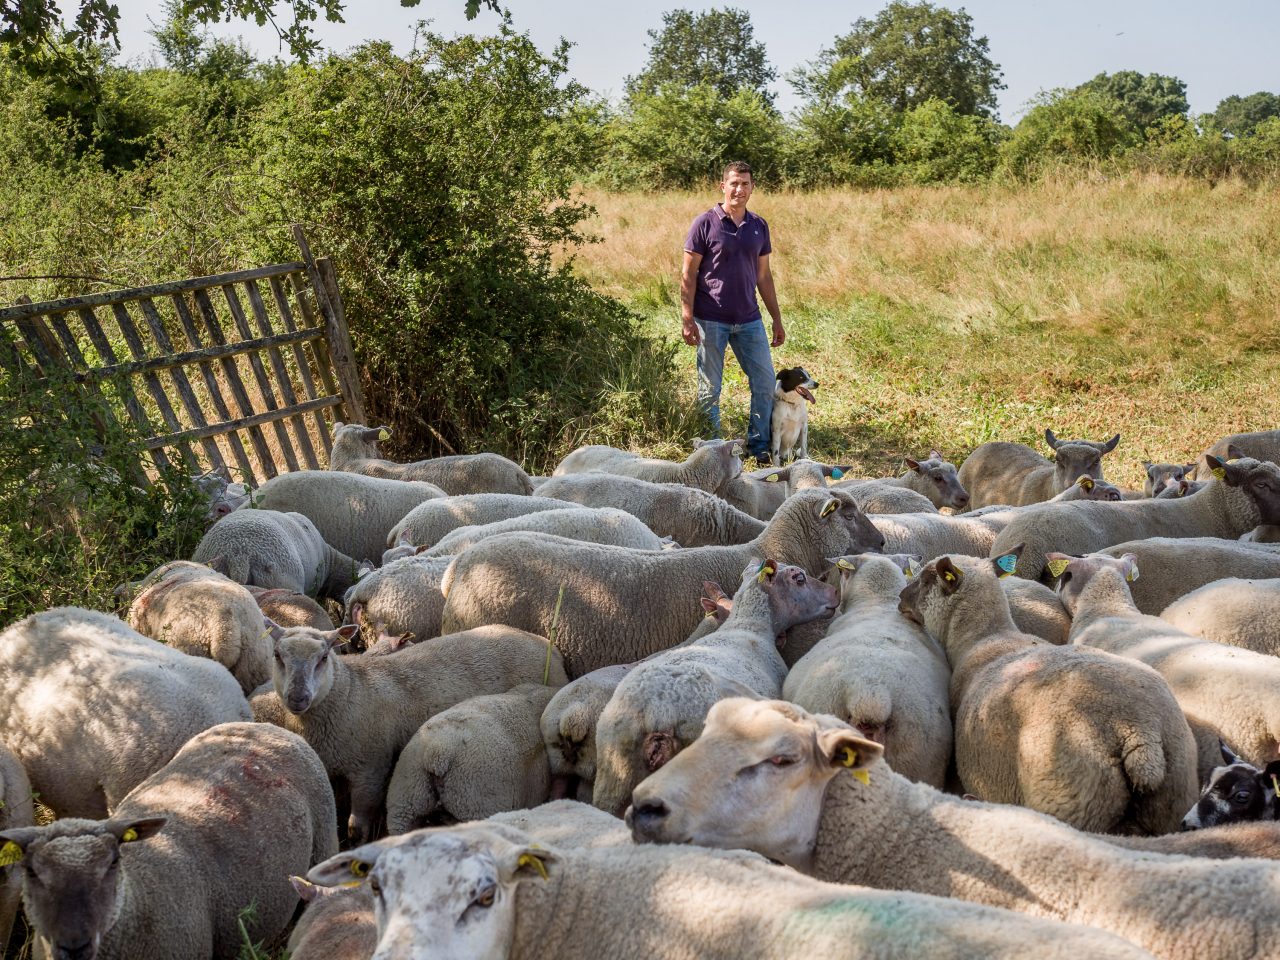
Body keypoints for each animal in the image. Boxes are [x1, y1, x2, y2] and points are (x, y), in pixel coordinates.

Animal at [0, 722, 337, 960]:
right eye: (31, 871)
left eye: (113, 863)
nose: (74, 945)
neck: (137, 897)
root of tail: (266, 726)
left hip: (325, 841)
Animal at [897, 552, 1199, 834]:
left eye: (926, 580)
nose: (899, 599)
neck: (985, 637)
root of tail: (1139, 732)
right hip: (1173, 798)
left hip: (1073, 797)